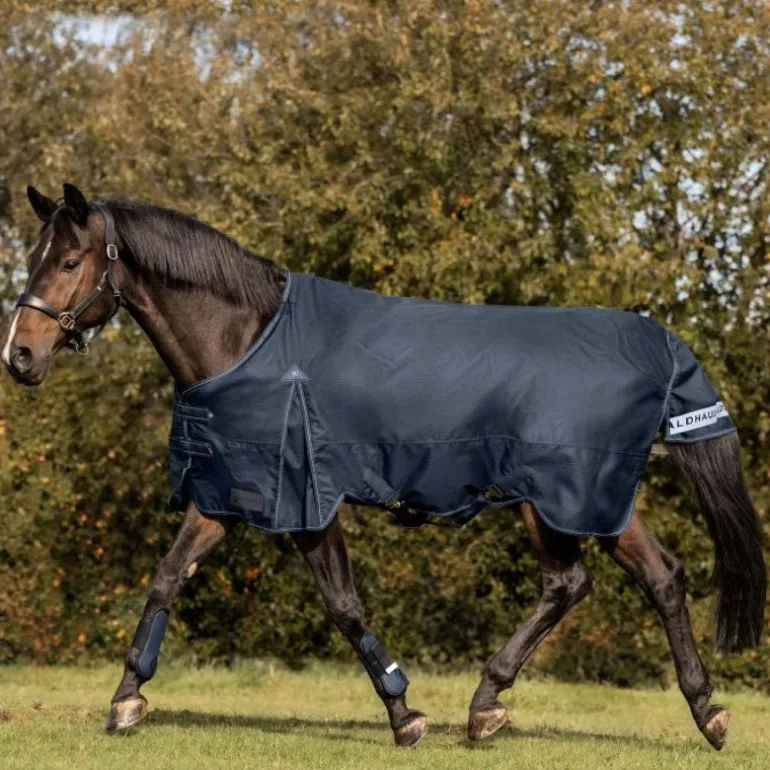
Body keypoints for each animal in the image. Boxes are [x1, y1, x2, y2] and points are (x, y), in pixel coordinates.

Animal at [3, 183, 765, 749]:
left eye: (66, 262)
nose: (20, 355)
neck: (251, 342)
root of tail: (657, 347)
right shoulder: (227, 495)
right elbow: (167, 578)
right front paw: (126, 700)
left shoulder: (307, 502)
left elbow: (343, 604)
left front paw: (405, 715)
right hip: (584, 500)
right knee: (647, 578)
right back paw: (690, 711)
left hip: (559, 497)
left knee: (578, 582)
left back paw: (500, 704)